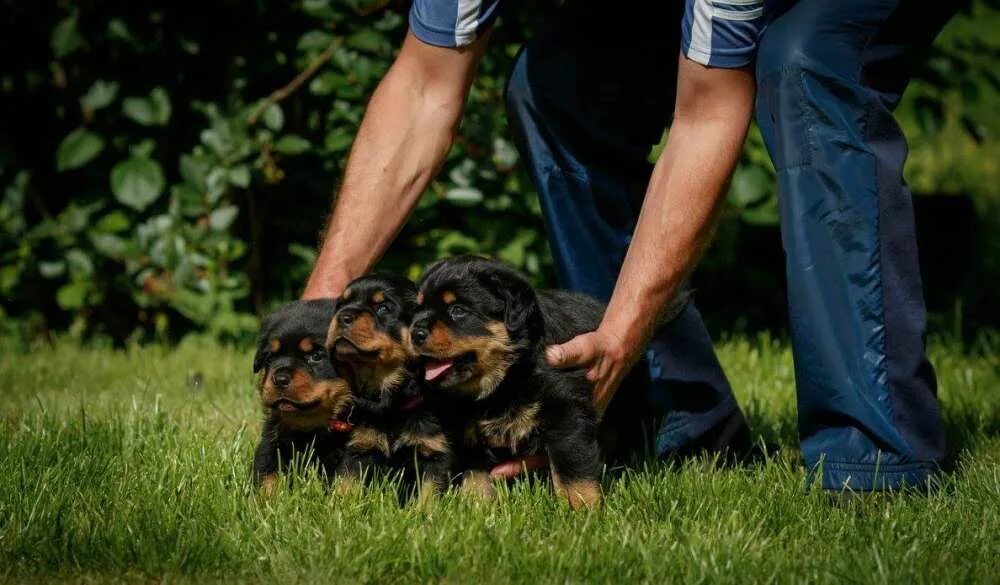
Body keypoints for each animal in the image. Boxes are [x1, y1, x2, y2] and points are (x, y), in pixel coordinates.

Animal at [326, 274, 452, 502]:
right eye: (341, 304)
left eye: (383, 308)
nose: (342, 317)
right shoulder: (359, 448)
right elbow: (346, 485)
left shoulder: (435, 452)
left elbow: (429, 493)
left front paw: (425, 511)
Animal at [408, 254, 608, 506]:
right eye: (419, 309)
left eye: (458, 310)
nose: (415, 333)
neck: (504, 379)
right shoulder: (467, 433)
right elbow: (475, 478)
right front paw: (476, 507)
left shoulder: (567, 413)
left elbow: (573, 471)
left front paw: (581, 508)